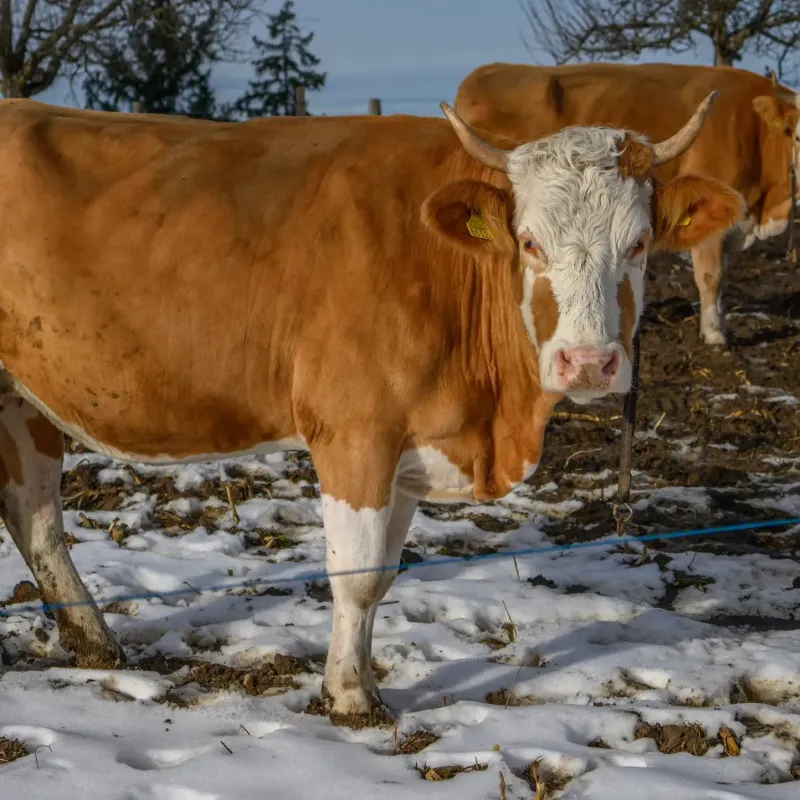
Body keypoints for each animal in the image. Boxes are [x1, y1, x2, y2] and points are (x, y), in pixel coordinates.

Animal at [0, 97, 741, 722]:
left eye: (638, 244)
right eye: (531, 242)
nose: (587, 363)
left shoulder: (409, 448)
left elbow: (382, 576)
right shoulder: (355, 432)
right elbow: (355, 578)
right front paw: (352, 697)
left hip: (19, 402)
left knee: (34, 516)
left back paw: (93, 640)